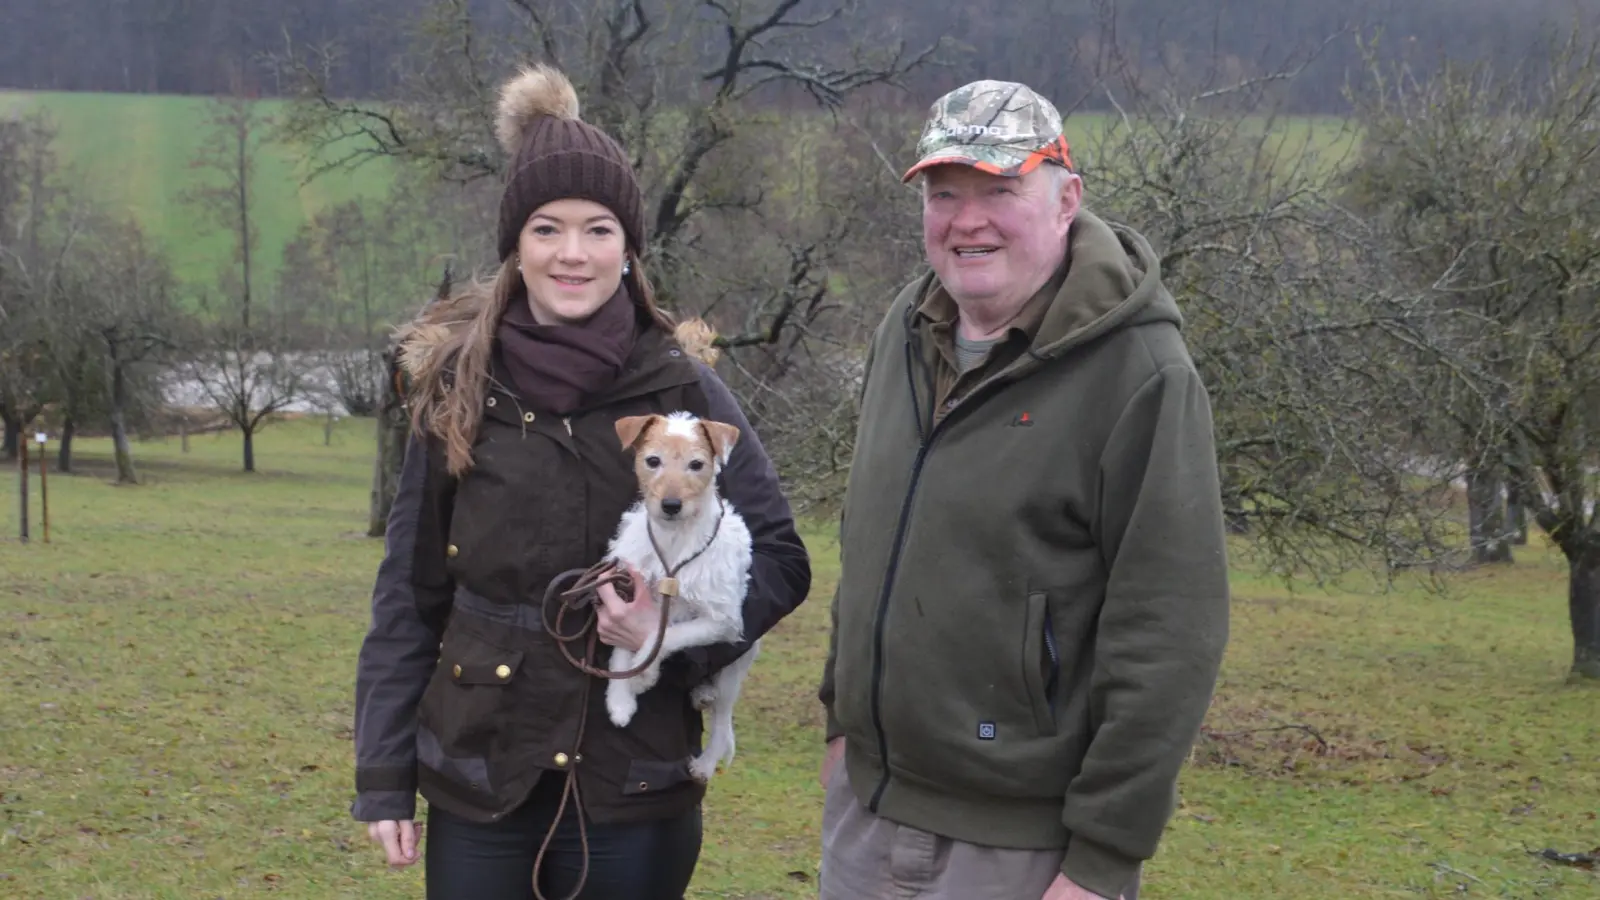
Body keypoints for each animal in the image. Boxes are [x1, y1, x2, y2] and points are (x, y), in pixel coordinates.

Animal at [608, 409, 758, 781]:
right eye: (652, 461)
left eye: (696, 464)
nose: (671, 505)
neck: (674, 542)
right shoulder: (628, 593)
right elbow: (620, 652)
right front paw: (619, 700)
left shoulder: (719, 621)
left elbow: (665, 637)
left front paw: (644, 675)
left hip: (734, 670)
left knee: (722, 725)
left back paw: (704, 763)